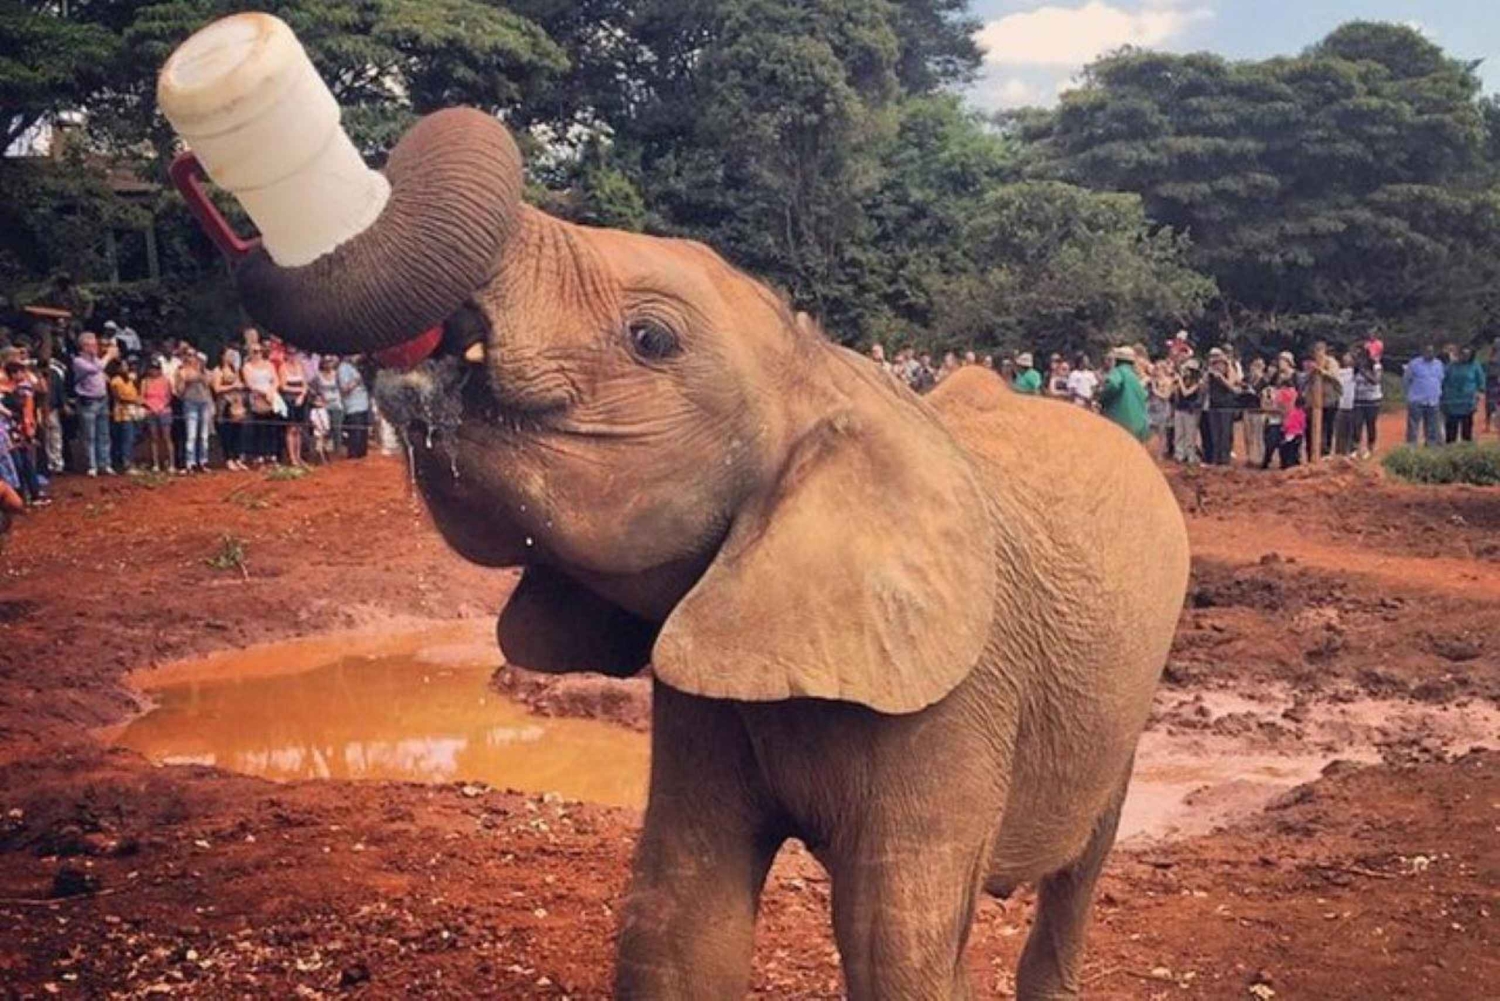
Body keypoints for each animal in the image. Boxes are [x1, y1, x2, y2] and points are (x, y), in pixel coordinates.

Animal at [221, 107, 1191, 999]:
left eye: (651, 337)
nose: (243, 213)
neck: (830, 376)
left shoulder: (958, 691)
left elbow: (897, 945)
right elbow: (681, 914)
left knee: (1079, 868)